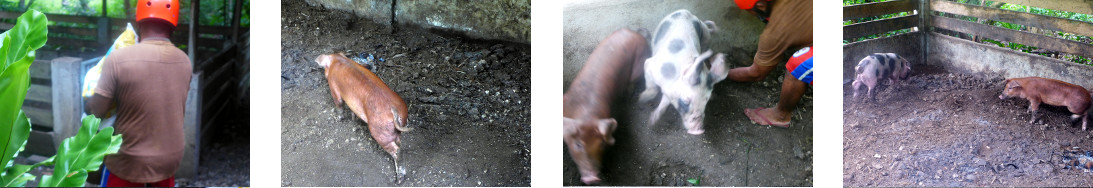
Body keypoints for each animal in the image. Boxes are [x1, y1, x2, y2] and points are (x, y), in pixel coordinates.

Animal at [563, 28, 647, 184]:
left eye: (602, 144)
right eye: (578, 144)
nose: (592, 178)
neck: (586, 113)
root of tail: (636, 33)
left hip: (639, 66)